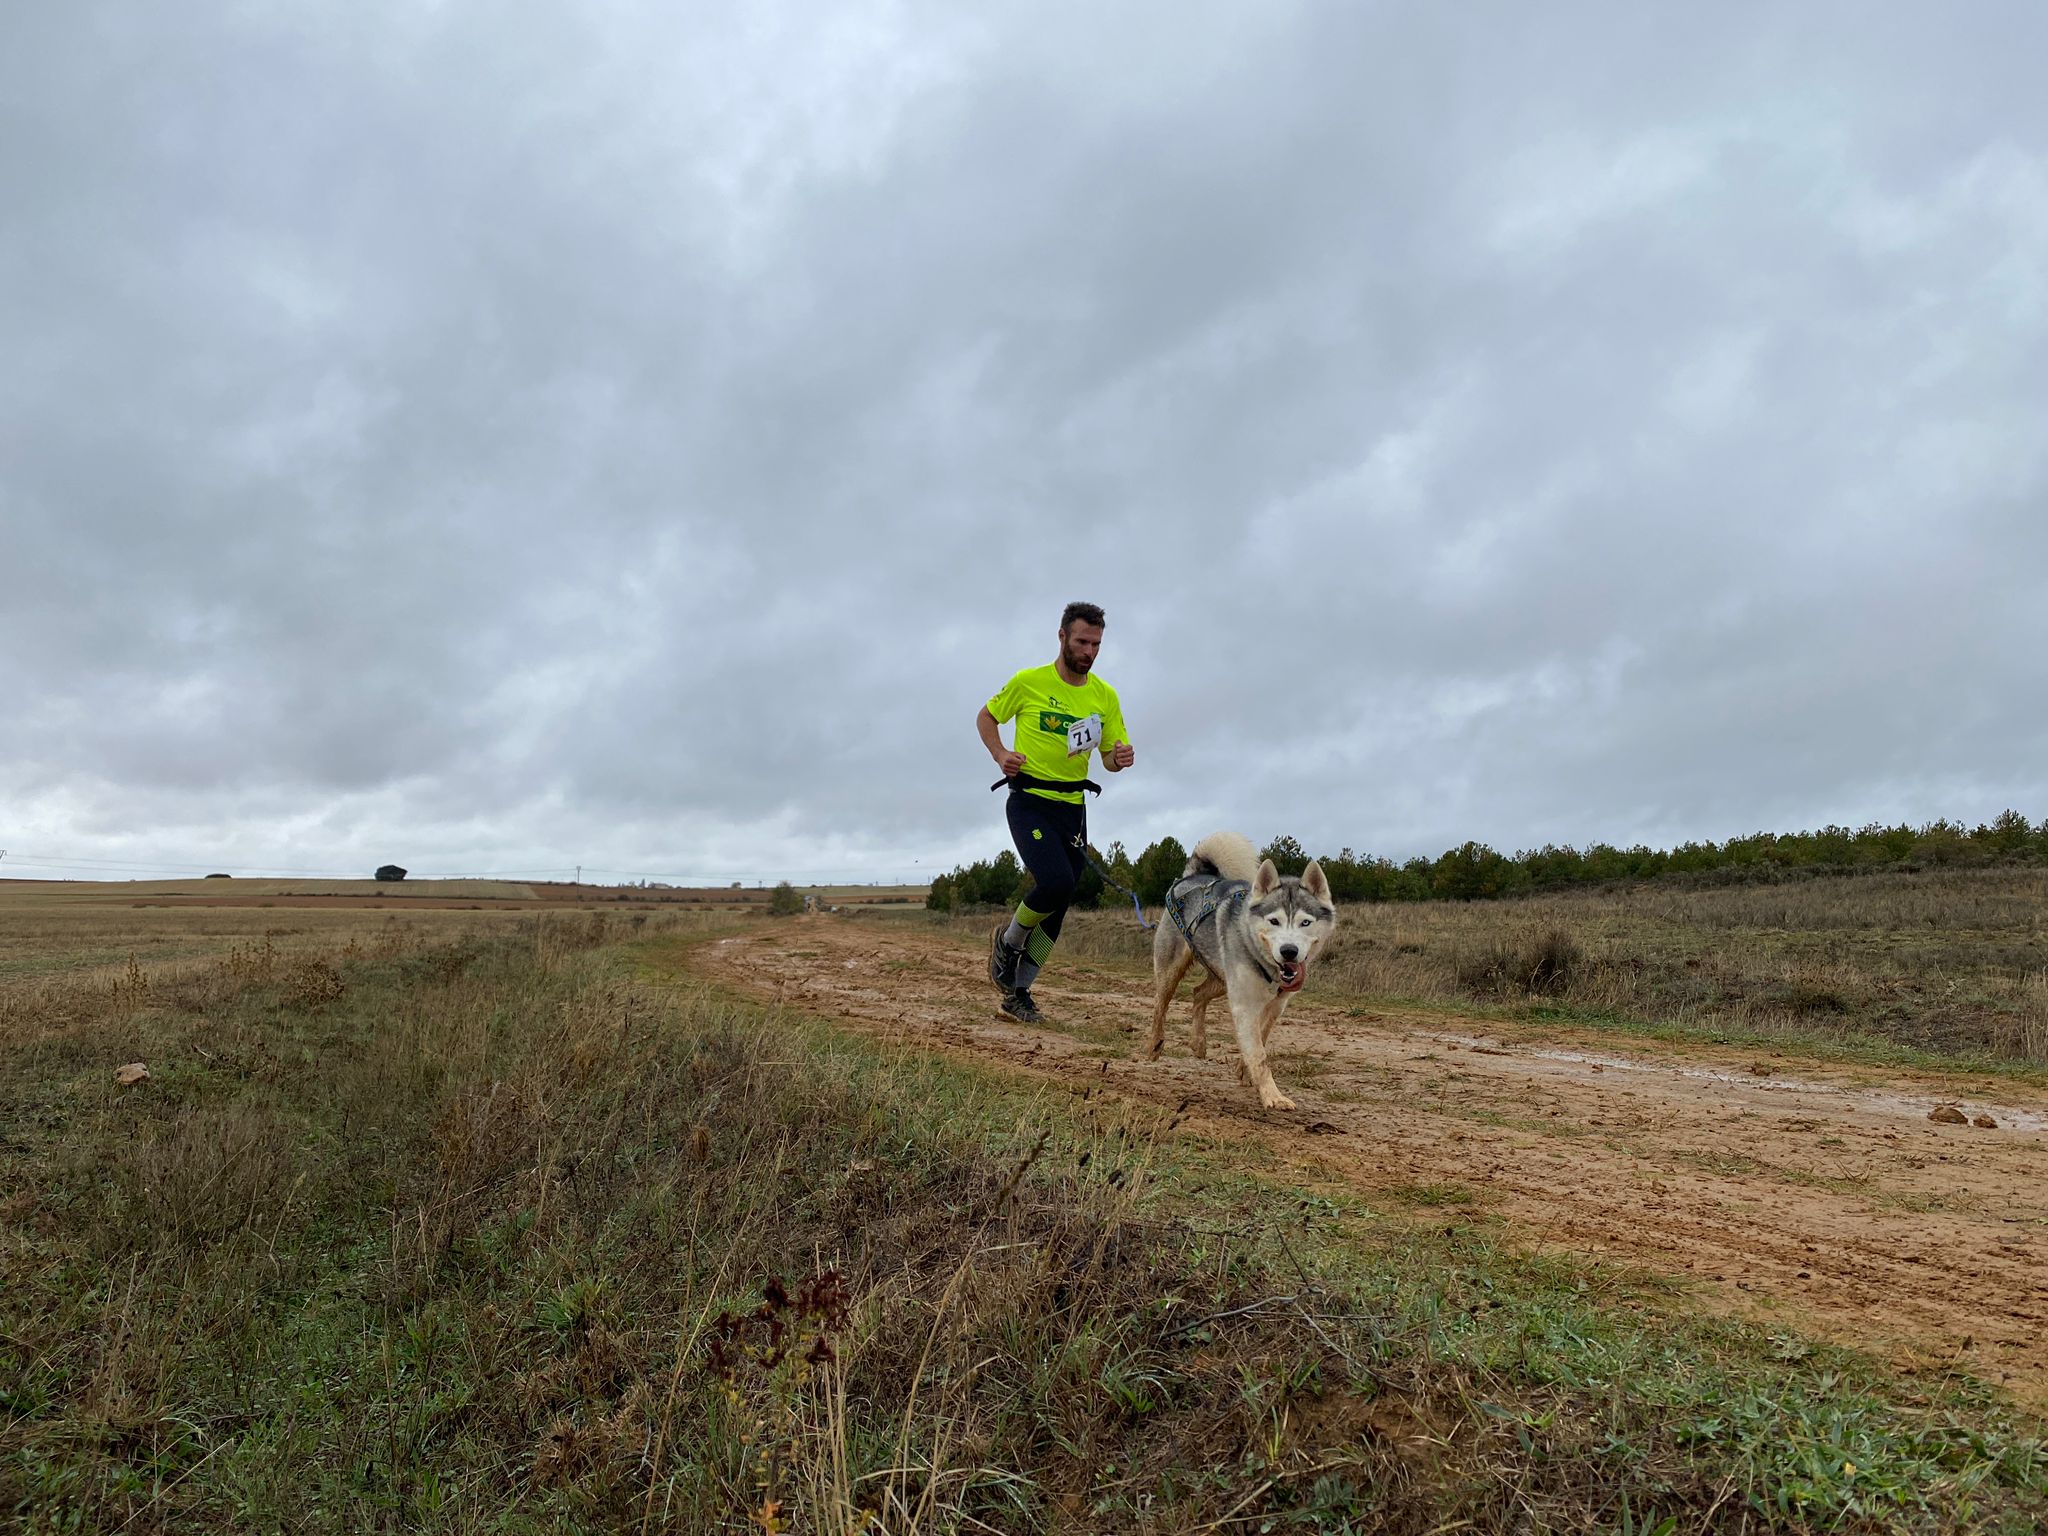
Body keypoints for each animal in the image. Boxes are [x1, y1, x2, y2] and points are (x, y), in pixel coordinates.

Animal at [1146, 835, 1335, 1114]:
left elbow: (1261, 1039)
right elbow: (1259, 1054)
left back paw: (1198, 1042)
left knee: (1198, 993)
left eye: (1305, 922)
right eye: (1274, 921)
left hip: (1222, 977)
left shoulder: (1276, 1006)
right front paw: (1272, 1095)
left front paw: (1245, 1071)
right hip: (1172, 969)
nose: (1289, 951)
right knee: (1160, 1003)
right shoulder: (1244, 1004)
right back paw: (1154, 1045)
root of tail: (1194, 876)